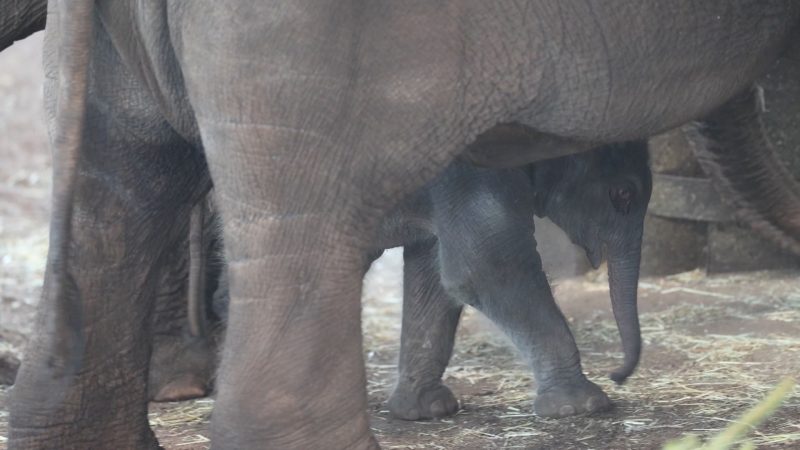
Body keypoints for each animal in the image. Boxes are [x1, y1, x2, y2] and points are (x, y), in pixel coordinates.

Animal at [209, 140, 652, 418]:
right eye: (622, 194)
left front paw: (427, 411)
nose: (618, 375)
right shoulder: (466, 168)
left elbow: (434, 270)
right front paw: (583, 407)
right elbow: (482, 265)